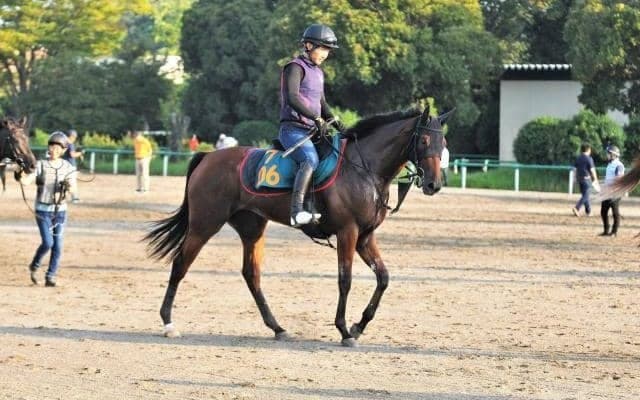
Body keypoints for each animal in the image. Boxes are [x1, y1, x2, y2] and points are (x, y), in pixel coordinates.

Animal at [146, 105, 452, 347]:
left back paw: (277, 327)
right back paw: (168, 323)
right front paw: (344, 330)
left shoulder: (365, 237)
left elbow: (383, 278)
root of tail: (208, 157)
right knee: (180, 264)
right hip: (204, 224)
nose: (434, 184)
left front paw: (358, 325)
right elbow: (345, 280)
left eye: (443, 141)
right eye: (425, 140)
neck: (363, 169)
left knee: (251, 275)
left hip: (252, 228)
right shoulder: (348, 232)